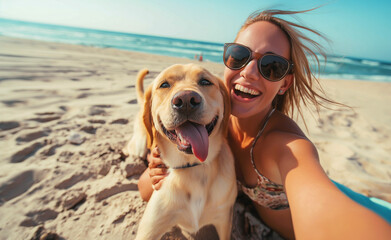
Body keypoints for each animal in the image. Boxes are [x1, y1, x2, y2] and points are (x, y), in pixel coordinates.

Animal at [131, 63, 236, 240]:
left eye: (205, 81)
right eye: (164, 85)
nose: (186, 99)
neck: (192, 168)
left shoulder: (224, 220)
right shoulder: (150, 228)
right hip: (139, 144)